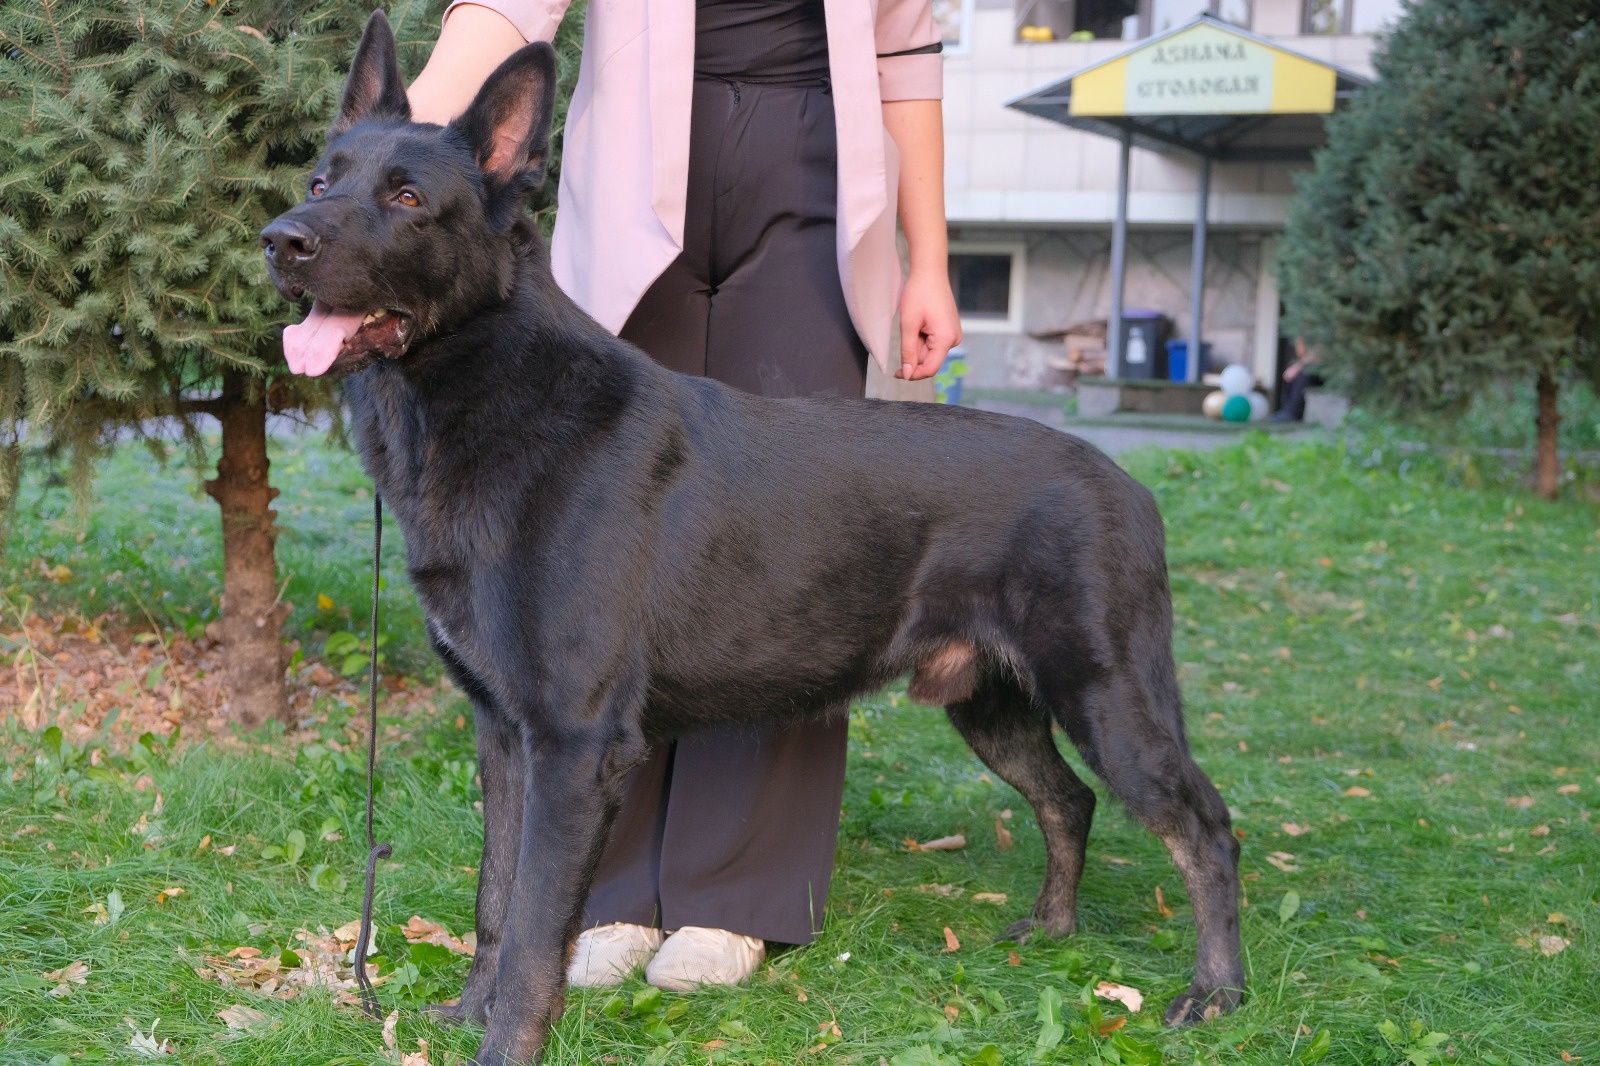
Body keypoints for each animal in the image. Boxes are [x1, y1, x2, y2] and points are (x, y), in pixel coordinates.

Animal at [262, 12, 1241, 1056]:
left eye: (407, 198)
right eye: (322, 182)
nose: (278, 240)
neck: (489, 393)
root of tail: (1128, 486)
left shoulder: (572, 744)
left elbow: (532, 926)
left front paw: (506, 1044)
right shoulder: (505, 734)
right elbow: (495, 899)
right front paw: (466, 1015)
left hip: (1109, 703)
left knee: (1205, 827)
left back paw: (1218, 992)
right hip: (993, 706)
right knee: (1069, 799)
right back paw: (1054, 929)